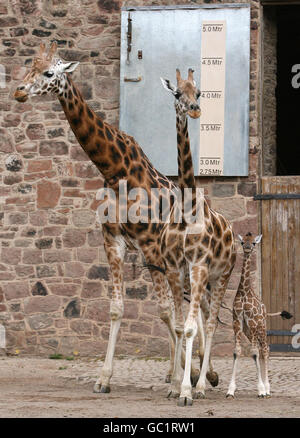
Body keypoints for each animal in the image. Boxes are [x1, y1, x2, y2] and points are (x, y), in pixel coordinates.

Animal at [13, 42, 202, 394]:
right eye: (28, 68)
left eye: (49, 73)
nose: (18, 91)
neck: (114, 169)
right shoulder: (113, 240)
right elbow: (117, 309)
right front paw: (104, 378)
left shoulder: (150, 245)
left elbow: (165, 311)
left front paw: (183, 376)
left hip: (177, 258)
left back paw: (198, 373)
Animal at [226, 233, 292, 400]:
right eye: (242, 242)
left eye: (254, 243)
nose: (248, 248)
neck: (244, 292)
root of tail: (265, 310)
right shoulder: (237, 322)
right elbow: (237, 351)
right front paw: (230, 390)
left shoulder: (252, 323)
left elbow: (254, 353)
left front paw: (261, 390)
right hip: (249, 331)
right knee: (261, 351)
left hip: (261, 328)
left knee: (265, 349)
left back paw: (267, 389)